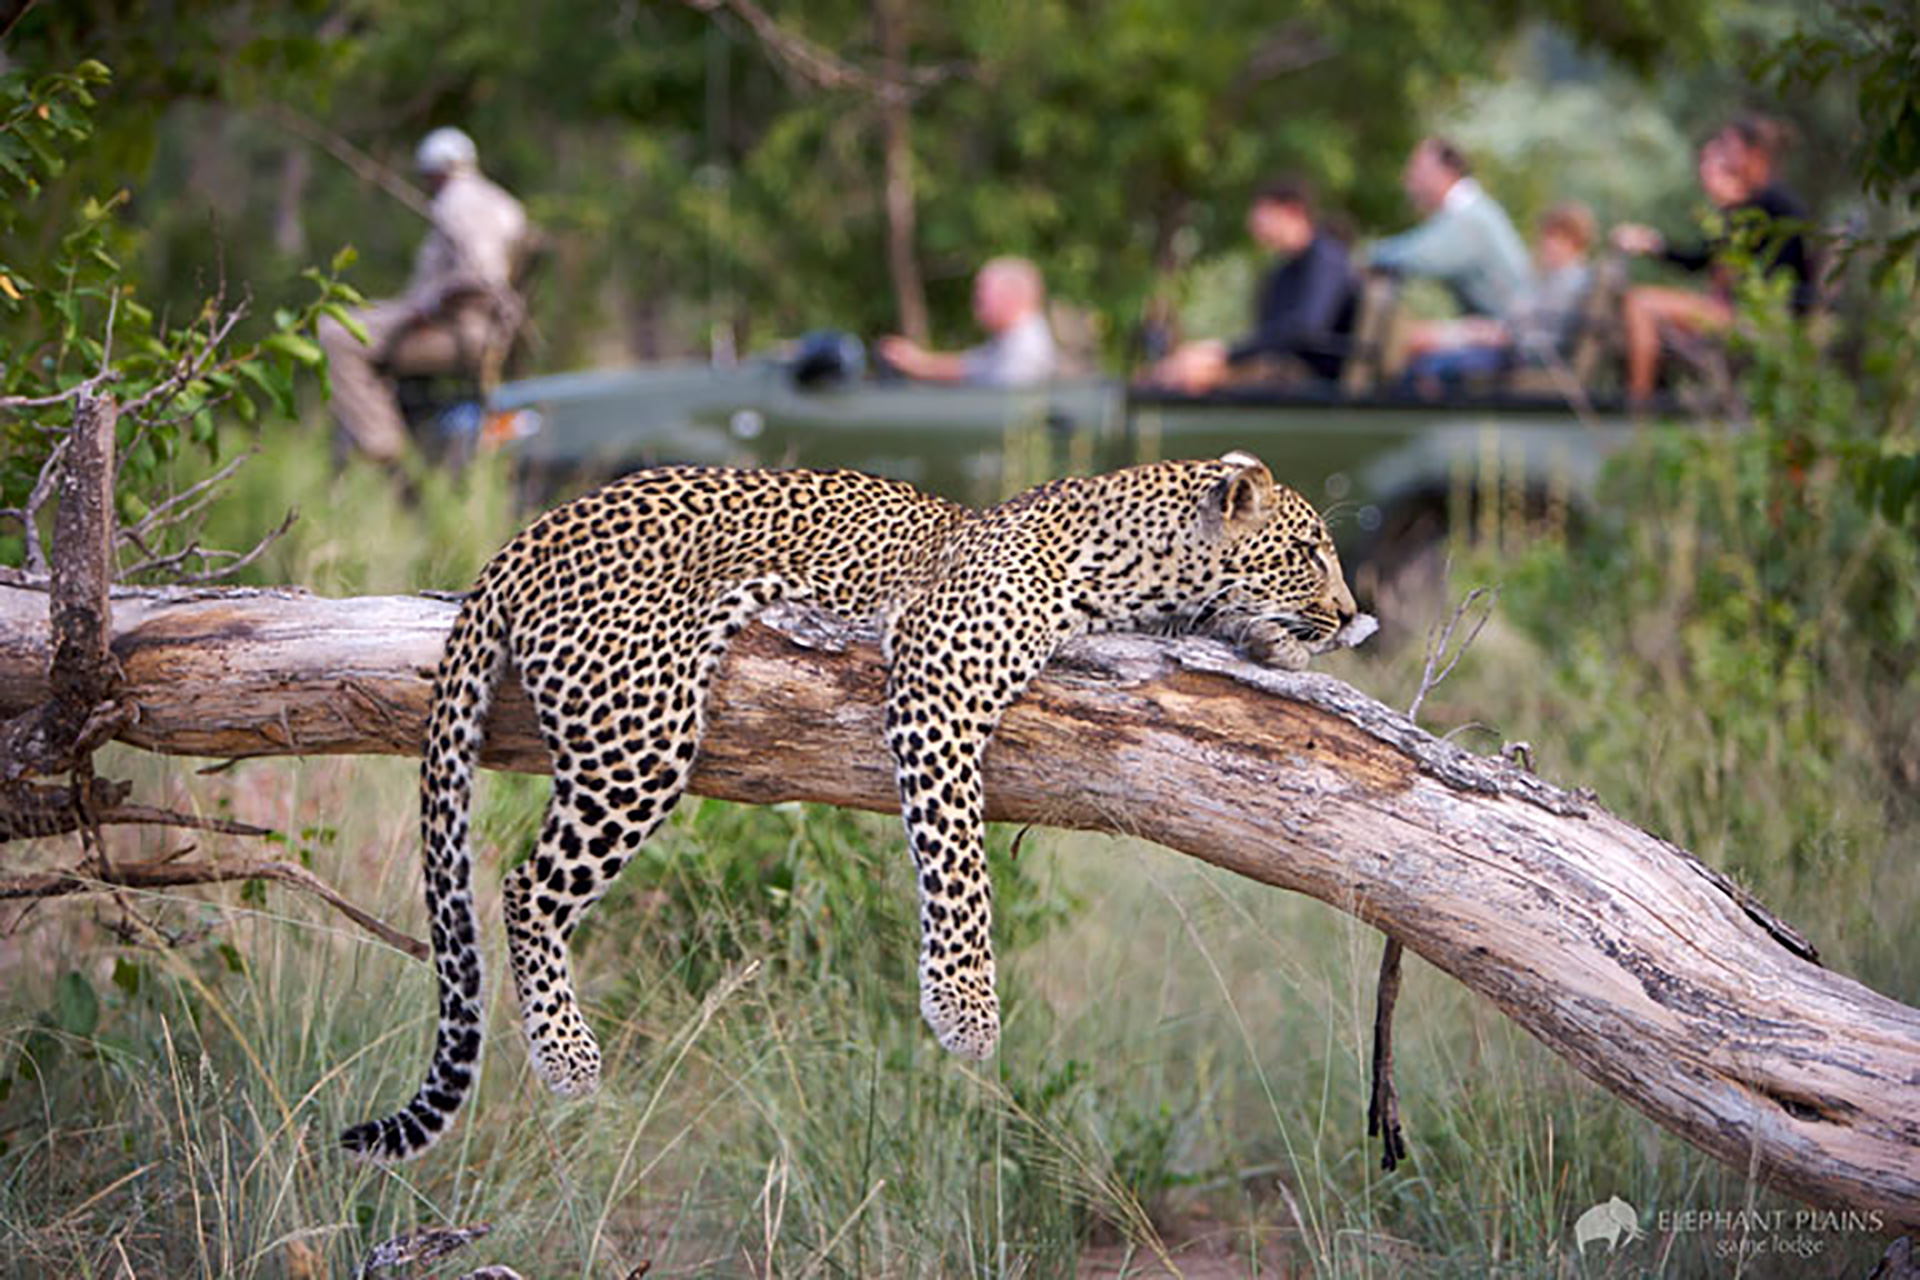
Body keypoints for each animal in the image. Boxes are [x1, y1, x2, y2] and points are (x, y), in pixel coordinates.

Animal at [337, 450, 1374, 1159]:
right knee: (524, 890)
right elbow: (958, 860)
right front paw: (964, 1013)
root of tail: (526, 536)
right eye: (1309, 550)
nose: (1352, 616)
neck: (1118, 562)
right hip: (641, 733)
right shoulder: (938, 682)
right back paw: (568, 1061)